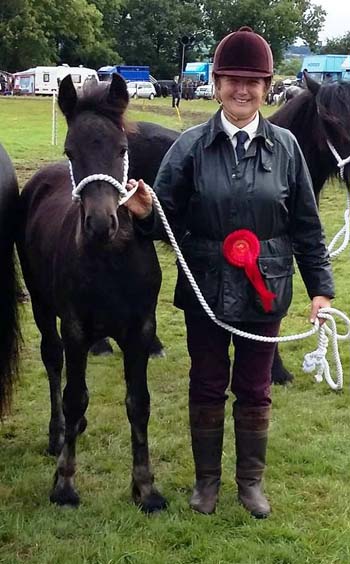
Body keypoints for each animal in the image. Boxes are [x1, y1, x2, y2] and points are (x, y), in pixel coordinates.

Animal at [17, 75, 167, 512]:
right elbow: (74, 395)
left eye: (122, 149)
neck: (111, 260)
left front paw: (145, 488)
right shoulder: (76, 328)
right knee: (54, 362)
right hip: (42, 304)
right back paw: (57, 434)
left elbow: (139, 402)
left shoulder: (141, 331)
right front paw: (65, 484)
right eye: (70, 150)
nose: (101, 224)